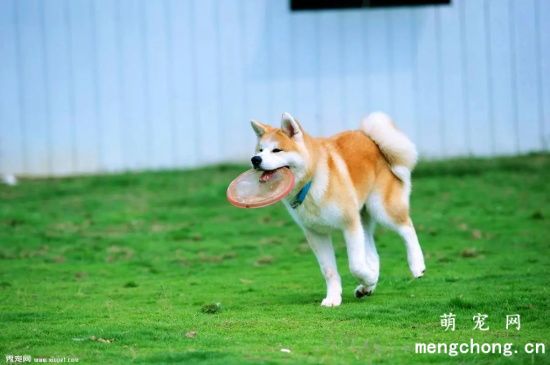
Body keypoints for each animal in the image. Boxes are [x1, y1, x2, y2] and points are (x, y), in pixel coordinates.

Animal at [250, 112, 426, 306]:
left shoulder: (350, 225)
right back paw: (366, 288)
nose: (255, 160)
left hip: (382, 210)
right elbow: (329, 270)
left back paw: (416, 265)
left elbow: (356, 265)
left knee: (407, 228)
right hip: (363, 219)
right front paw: (334, 297)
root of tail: (369, 138)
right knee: (374, 255)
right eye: (260, 150)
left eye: (277, 150)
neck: (311, 183)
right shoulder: (316, 234)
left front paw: (368, 278)